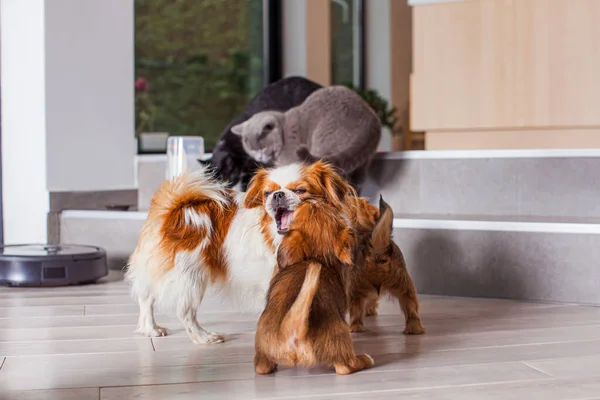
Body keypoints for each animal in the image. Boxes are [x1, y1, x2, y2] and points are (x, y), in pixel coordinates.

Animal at [253, 175, 376, 376]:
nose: (312, 199)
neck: (315, 255)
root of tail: (294, 329)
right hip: (341, 342)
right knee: (345, 367)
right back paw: (365, 359)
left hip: (263, 350)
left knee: (262, 367)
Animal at [346, 196, 426, 334]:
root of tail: (377, 252)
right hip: (405, 286)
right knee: (411, 309)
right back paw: (414, 328)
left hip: (354, 288)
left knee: (356, 313)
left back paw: (355, 328)